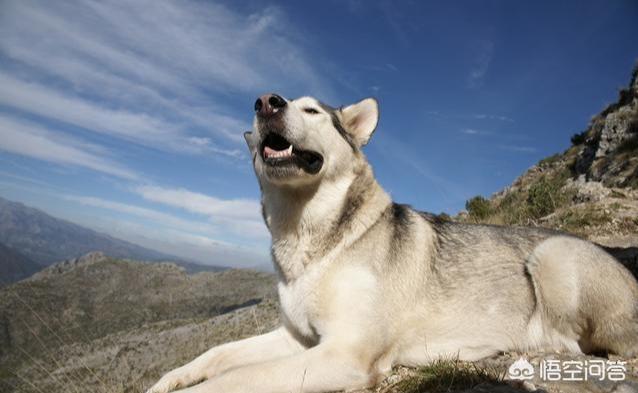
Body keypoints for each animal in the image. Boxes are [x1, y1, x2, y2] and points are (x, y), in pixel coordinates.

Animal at [150, 94, 638, 392]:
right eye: (273, 104)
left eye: (311, 111)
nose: (266, 102)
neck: (314, 238)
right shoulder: (298, 339)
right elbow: (216, 355)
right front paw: (168, 379)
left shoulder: (345, 352)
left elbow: (234, 380)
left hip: (552, 255)